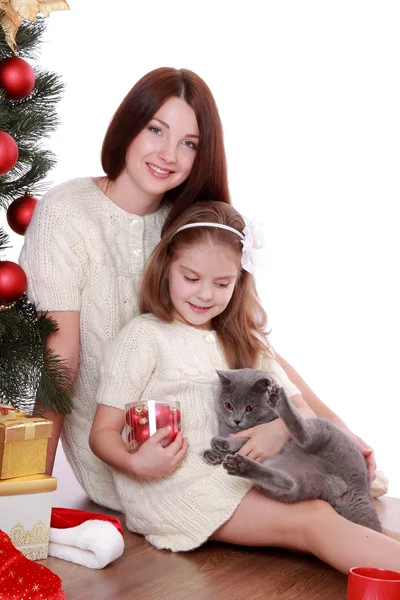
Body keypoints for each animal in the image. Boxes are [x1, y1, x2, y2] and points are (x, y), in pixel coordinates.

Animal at [205, 368, 382, 532]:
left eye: (250, 408)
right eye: (228, 406)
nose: (236, 420)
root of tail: (359, 488)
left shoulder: (261, 434)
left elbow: (244, 439)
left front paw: (221, 442)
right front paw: (213, 454)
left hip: (325, 431)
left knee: (307, 438)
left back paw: (278, 400)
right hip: (300, 483)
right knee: (288, 483)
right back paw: (239, 465)